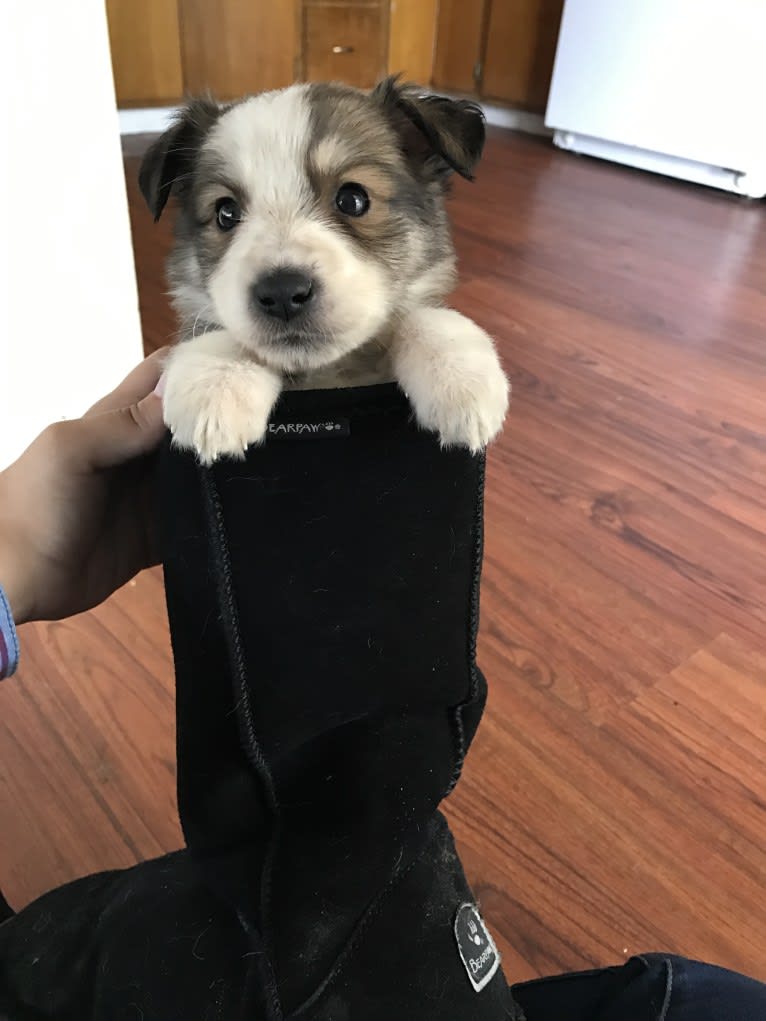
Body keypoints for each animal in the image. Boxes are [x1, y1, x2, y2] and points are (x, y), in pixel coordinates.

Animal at [139, 76, 510, 467]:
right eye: (225, 213)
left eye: (353, 199)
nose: (283, 293)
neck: (324, 373)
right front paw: (217, 381)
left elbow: (421, 316)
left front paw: (459, 377)